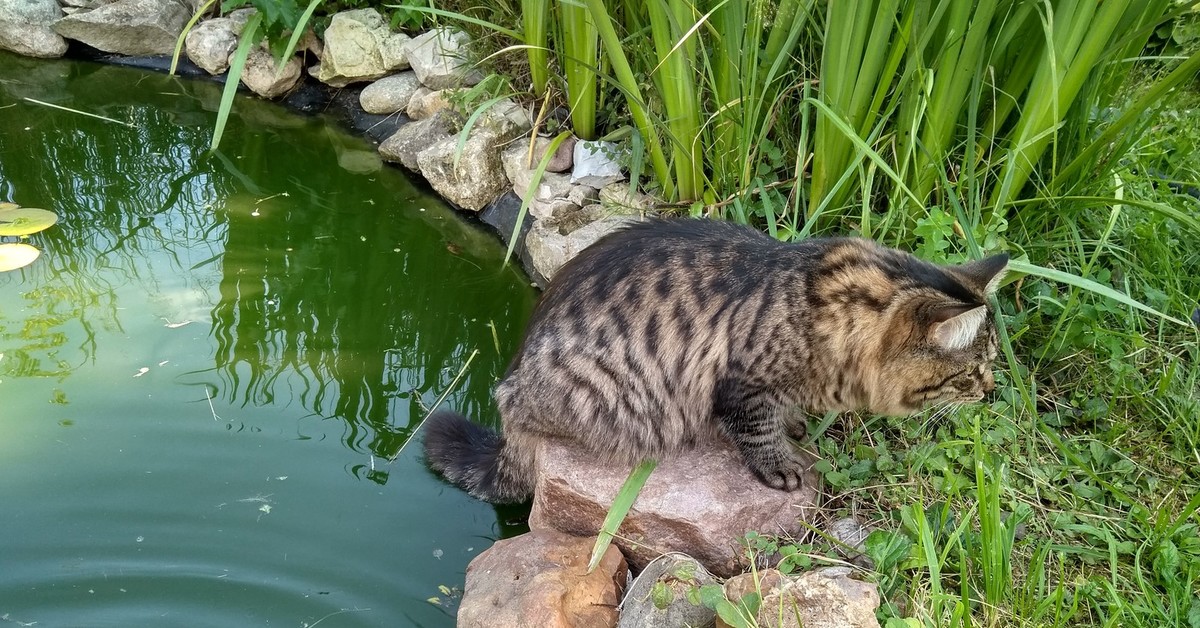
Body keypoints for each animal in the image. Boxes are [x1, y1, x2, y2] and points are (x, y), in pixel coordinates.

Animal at [422, 218, 1003, 504]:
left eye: (994, 362)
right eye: (971, 371)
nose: (992, 389)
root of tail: (509, 387)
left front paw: (796, 425)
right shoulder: (742, 382)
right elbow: (757, 429)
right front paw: (780, 463)